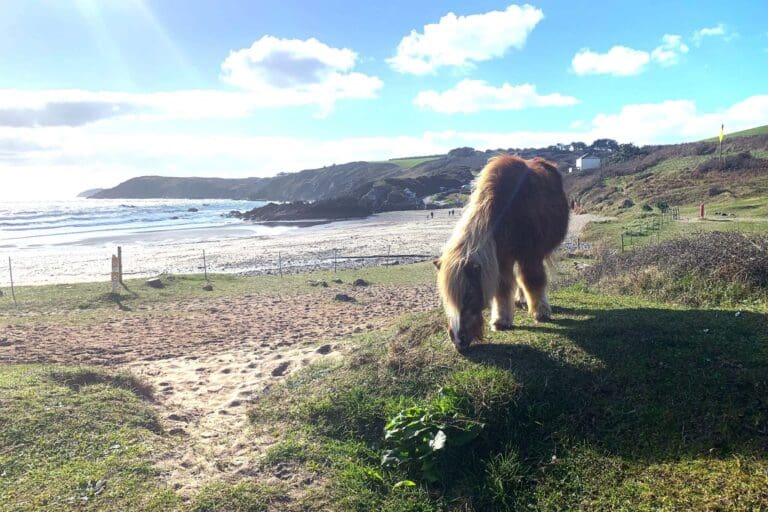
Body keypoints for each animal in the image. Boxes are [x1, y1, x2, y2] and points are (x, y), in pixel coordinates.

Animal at [434, 155, 569, 352]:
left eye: (468, 295)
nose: (458, 342)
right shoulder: (502, 258)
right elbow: (502, 287)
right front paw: (501, 320)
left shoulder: (531, 255)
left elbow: (533, 280)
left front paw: (541, 312)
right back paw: (520, 300)